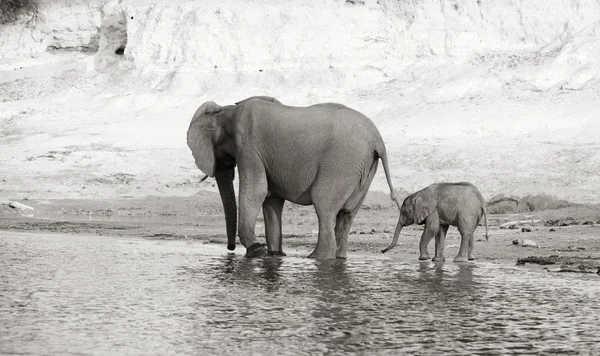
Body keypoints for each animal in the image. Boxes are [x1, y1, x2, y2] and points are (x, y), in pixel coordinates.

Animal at [186, 96, 404, 260]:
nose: (230, 249)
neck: (226, 111)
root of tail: (378, 139)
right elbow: (271, 199)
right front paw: (274, 255)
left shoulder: (248, 147)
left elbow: (256, 192)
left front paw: (256, 251)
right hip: (363, 169)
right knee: (347, 214)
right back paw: (337, 258)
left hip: (342, 164)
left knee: (324, 206)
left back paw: (316, 258)